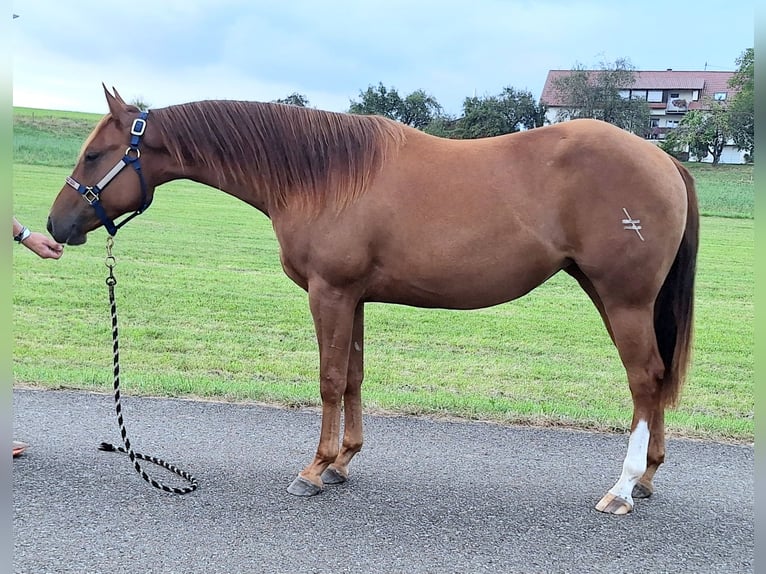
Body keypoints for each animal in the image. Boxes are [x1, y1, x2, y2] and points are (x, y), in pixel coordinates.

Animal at [45, 86, 700, 516]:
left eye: (96, 155)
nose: (56, 225)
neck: (323, 176)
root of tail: (664, 157)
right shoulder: (353, 297)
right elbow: (355, 375)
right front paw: (342, 463)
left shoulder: (329, 293)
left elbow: (330, 379)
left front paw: (313, 470)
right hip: (608, 295)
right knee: (654, 380)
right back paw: (646, 478)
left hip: (623, 299)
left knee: (644, 378)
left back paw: (622, 488)